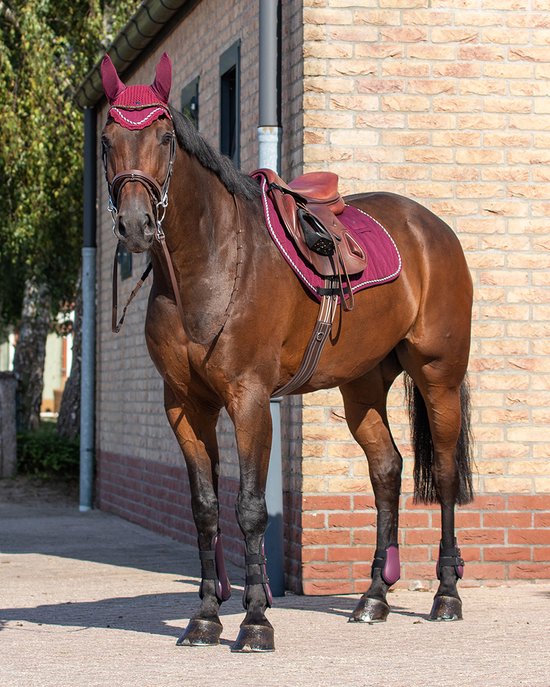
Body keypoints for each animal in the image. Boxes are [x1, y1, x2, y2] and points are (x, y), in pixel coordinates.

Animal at [100, 54, 473, 653]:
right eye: (107, 140)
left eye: (165, 136)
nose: (136, 226)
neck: (210, 264)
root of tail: (433, 229)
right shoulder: (183, 405)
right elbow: (205, 510)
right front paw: (205, 618)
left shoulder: (250, 400)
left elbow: (252, 509)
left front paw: (255, 620)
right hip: (362, 385)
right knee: (386, 469)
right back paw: (373, 598)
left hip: (438, 376)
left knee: (440, 474)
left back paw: (445, 596)